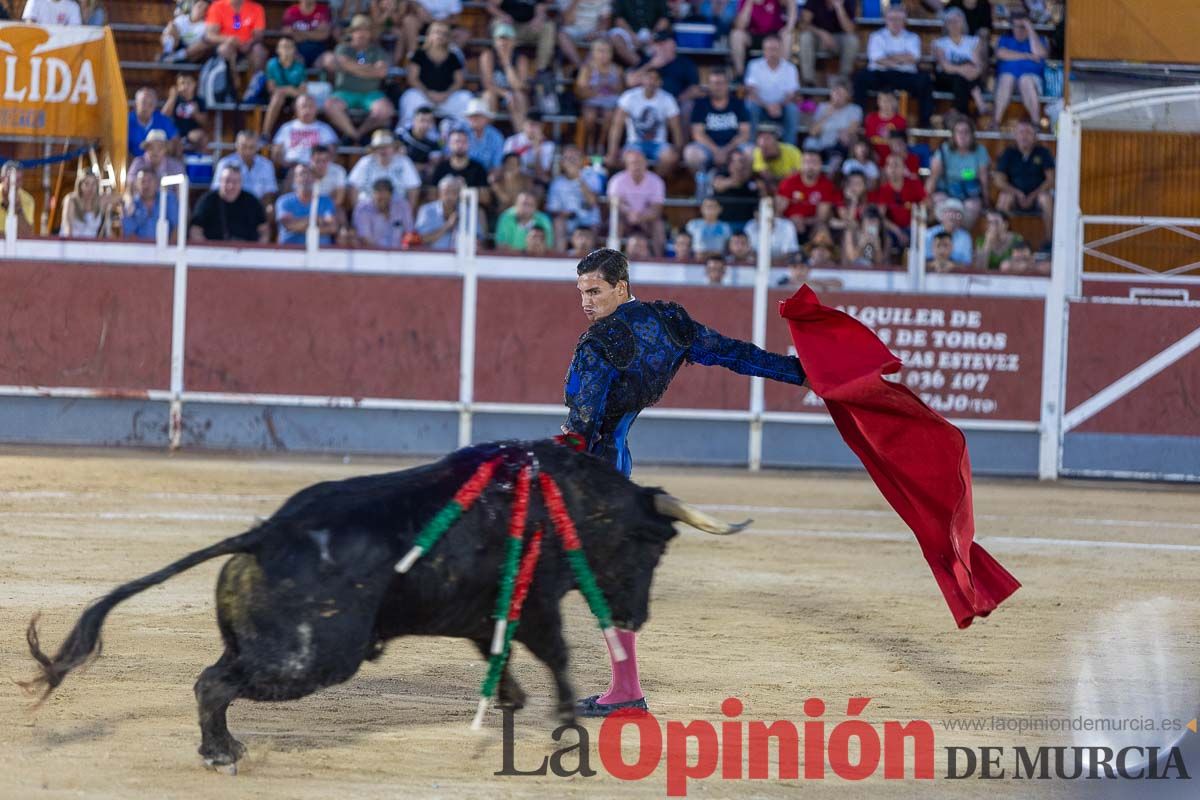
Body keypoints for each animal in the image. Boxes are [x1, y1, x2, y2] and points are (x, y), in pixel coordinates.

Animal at [23, 441, 744, 772]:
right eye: (654, 548)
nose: (634, 619)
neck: (564, 496)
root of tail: (265, 532)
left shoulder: (486, 613)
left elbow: (501, 654)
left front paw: (509, 702)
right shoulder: (538, 602)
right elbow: (558, 657)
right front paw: (566, 723)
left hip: (266, 646)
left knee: (217, 679)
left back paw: (224, 745)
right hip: (310, 659)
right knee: (212, 684)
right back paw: (222, 753)